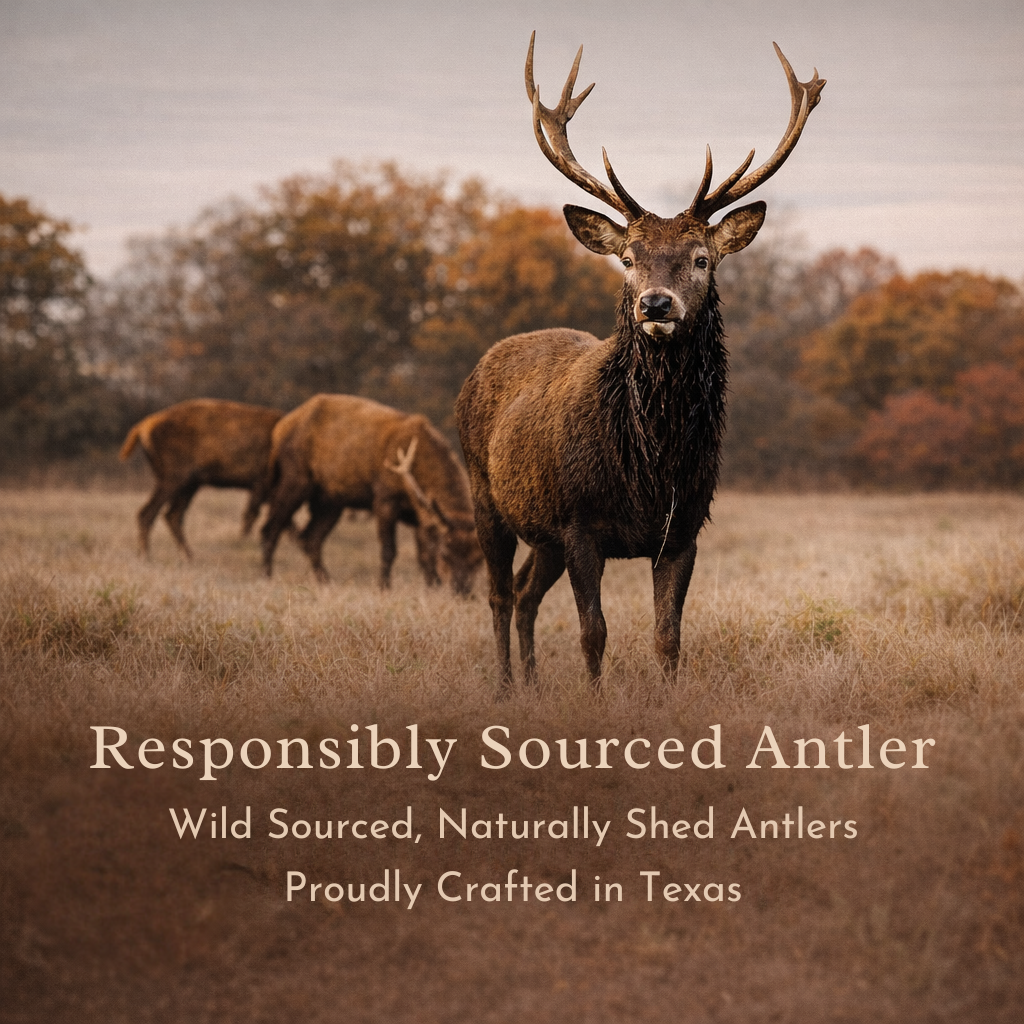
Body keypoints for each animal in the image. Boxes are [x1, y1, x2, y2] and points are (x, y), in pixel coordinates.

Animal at [455, 34, 825, 695]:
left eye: (701, 258)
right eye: (628, 258)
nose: (655, 304)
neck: (650, 465)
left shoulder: (683, 529)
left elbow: (668, 638)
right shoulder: (579, 521)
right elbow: (593, 633)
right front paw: (596, 704)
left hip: (542, 532)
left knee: (524, 594)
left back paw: (532, 684)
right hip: (484, 494)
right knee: (499, 593)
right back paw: (503, 687)